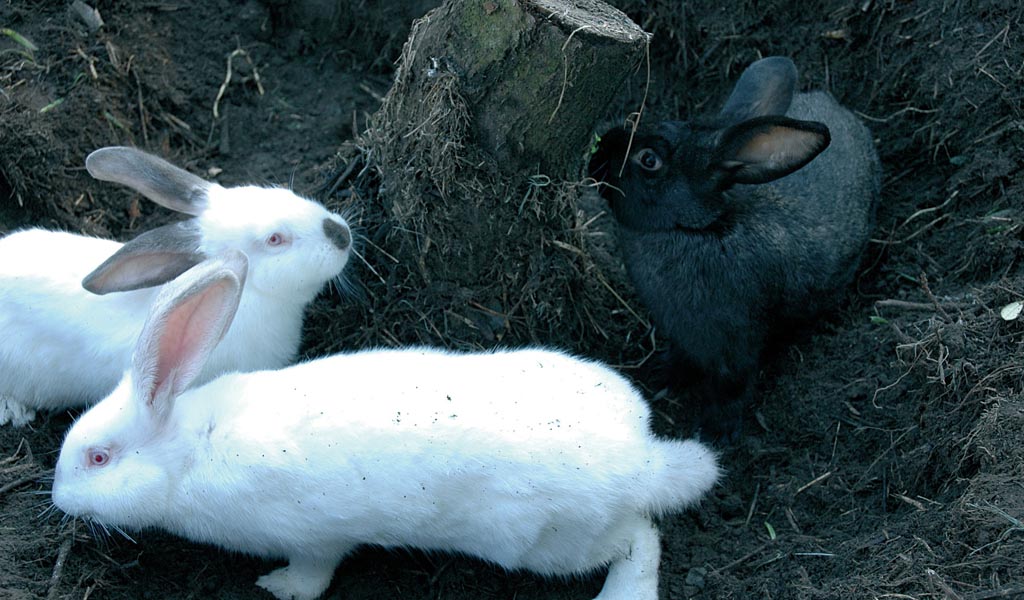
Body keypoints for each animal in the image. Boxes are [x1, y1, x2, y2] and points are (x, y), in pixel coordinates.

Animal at [49, 247, 720, 597]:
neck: (191, 449)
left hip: (553, 543)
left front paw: (277, 587)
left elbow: (315, 573)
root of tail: (644, 457)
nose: (57, 499)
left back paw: (623, 593)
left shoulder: (314, 535)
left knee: (642, 537)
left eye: (99, 458)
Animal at [593, 57, 880, 438]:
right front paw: (662, 376)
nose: (597, 152)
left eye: (648, 159)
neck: (696, 229)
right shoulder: (683, 336)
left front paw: (717, 432)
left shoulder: (738, 347)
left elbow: (733, 387)